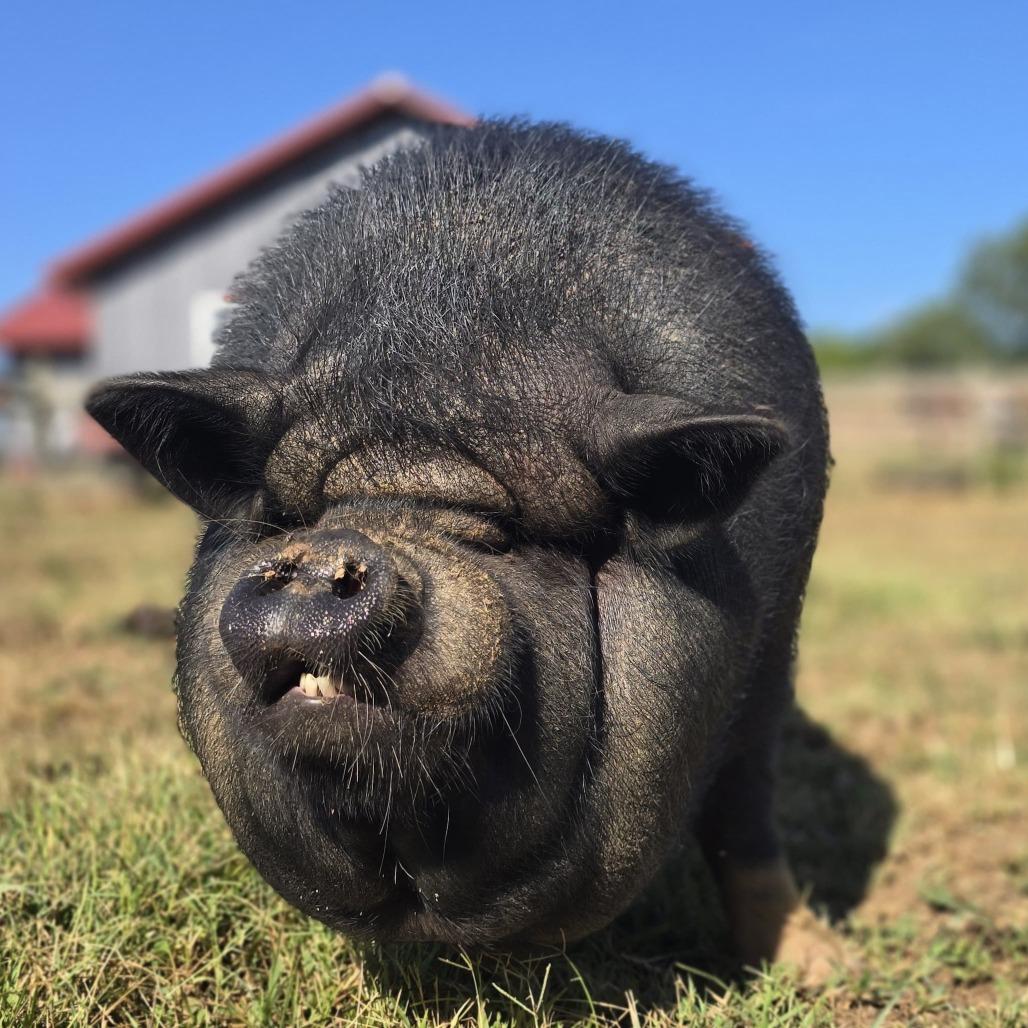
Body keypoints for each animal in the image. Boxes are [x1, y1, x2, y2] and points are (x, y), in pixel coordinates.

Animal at [87, 119, 831, 971]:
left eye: (501, 533)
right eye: (296, 515)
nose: (329, 552)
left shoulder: (769, 650)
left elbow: (744, 812)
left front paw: (815, 969)